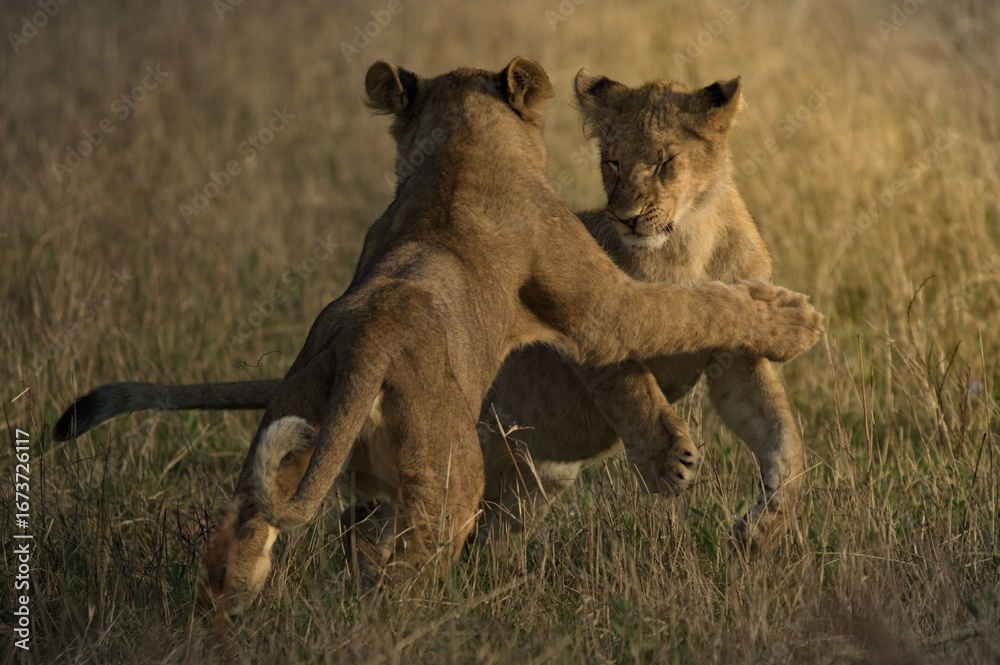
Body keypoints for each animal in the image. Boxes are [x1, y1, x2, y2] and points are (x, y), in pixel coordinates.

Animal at [56, 61, 822, 613]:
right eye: (611, 163)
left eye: (664, 163)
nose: (628, 216)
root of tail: (363, 340)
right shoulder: (602, 313)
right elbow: (674, 327)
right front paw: (678, 450)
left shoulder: (733, 369)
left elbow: (784, 439)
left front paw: (760, 530)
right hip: (454, 474)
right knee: (403, 566)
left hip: (385, 463)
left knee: (291, 523)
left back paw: (243, 604)